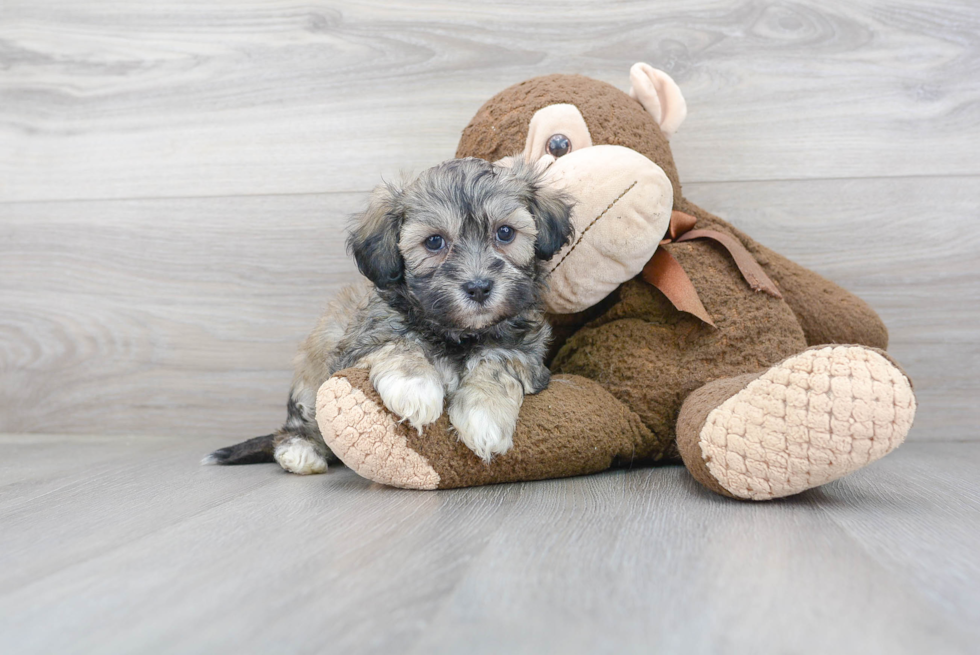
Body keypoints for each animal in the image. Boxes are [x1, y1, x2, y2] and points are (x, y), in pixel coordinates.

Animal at [207, 159, 576, 476]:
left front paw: (485, 414)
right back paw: (301, 450)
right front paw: (415, 387)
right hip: (310, 383)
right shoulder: (359, 344)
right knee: (298, 426)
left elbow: (497, 363)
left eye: (505, 233)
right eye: (434, 242)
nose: (479, 287)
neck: (455, 333)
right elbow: (399, 342)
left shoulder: (525, 352)